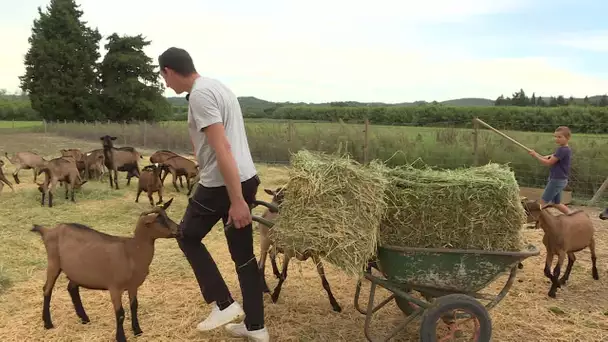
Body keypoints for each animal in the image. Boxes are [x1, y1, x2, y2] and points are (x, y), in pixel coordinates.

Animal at [30, 199, 179, 340]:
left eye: (166, 216)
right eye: (159, 221)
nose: (179, 230)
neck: (132, 252)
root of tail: (47, 231)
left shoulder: (133, 286)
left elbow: (134, 306)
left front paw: (137, 331)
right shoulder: (115, 287)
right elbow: (120, 313)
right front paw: (121, 337)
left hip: (77, 271)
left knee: (71, 288)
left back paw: (84, 318)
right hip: (53, 262)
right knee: (47, 289)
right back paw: (48, 323)